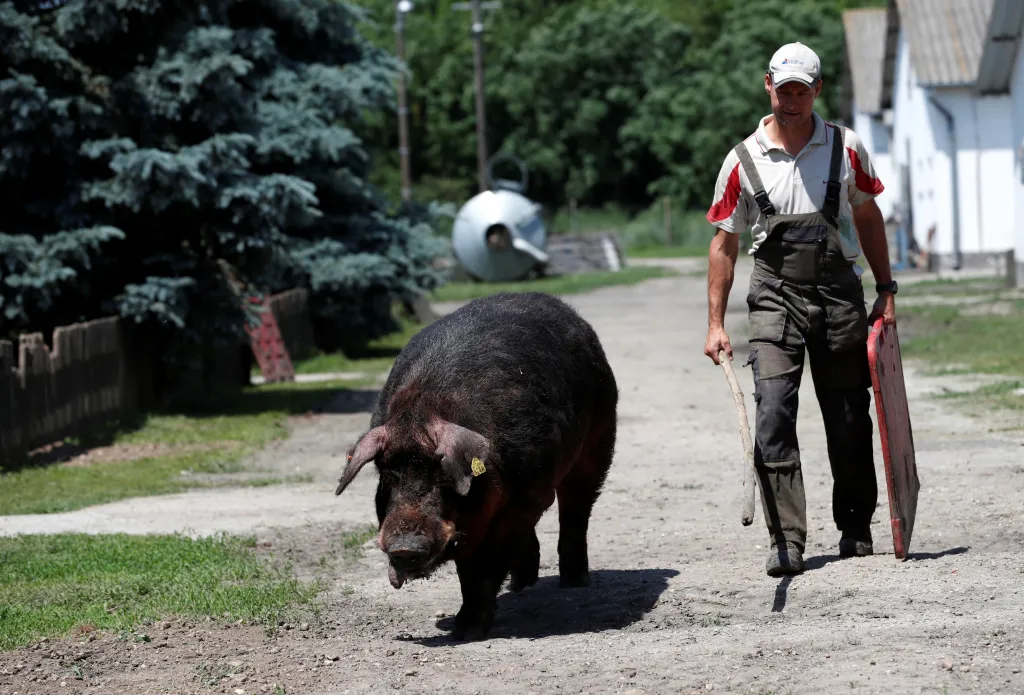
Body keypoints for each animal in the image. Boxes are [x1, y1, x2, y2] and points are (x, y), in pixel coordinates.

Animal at [334, 291, 618, 640]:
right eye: (387, 478)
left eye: (442, 478)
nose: (403, 547)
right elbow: (467, 569)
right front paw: (464, 626)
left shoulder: (520, 500)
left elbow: (483, 565)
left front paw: (468, 630)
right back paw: (521, 585)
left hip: (600, 437)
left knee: (576, 508)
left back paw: (575, 582)